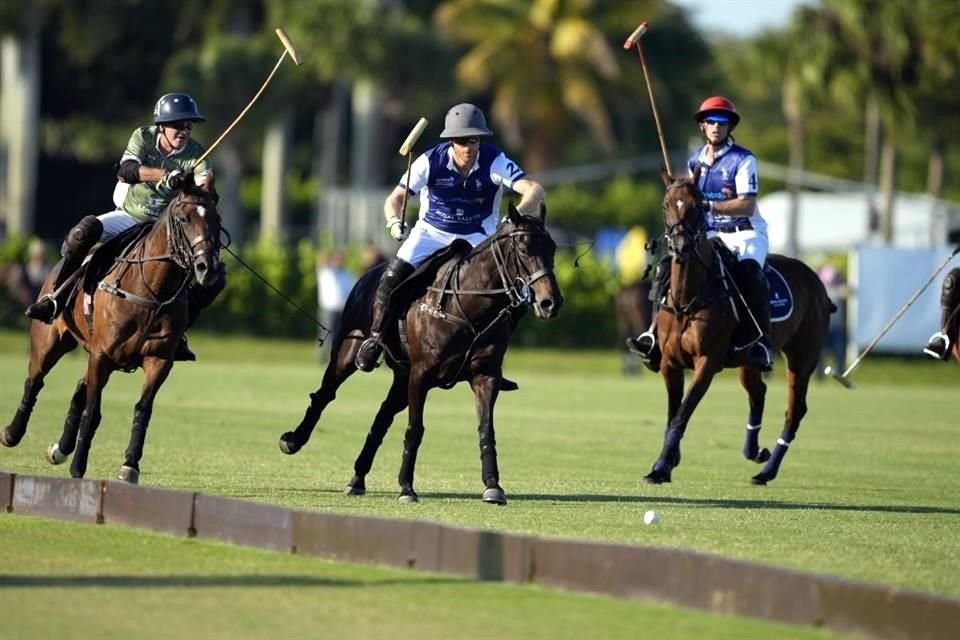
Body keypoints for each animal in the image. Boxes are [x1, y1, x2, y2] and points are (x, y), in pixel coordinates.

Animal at [0, 172, 221, 482]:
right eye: (184, 218)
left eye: (216, 219)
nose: (207, 268)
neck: (152, 290)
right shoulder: (102, 355)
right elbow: (93, 413)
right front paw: (78, 468)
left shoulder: (159, 359)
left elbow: (143, 410)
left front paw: (130, 465)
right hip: (50, 341)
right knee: (35, 380)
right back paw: (12, 433)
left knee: (79, 389)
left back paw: (60, 448)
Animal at [278, 202, 564, 502]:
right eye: (524, 248)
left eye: (553, 248)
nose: (550, 303)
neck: (468, 308)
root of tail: (367, 273)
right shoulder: (421, 374)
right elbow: (415, 429)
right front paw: (406, 487)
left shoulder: (485, 376)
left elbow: (486, 428)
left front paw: (493, 485)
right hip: (349, 351)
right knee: (325, 394)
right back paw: (293, 441)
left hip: (401, 378)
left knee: (382, 416)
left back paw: (357, 478)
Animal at [644, 169, 832, 484]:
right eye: (664, 205)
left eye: (698, 206)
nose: (680, 247)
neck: (688, 299)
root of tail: (816, 280)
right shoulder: (670, 363)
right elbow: (673, 414)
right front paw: (665, 465)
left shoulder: (707, 362)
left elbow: (682, 413)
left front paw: (661, 466)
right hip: (748, 362)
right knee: (758, 393)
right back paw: (755, 452)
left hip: (803, 357)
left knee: (794, 411)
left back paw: (766, 472)